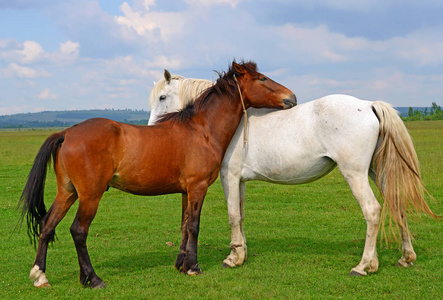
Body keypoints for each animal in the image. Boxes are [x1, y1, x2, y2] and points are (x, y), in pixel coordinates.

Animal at [20, 61, 298, 288]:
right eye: (262, 78)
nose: (292, 97)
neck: (201, 130)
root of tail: (67, 133)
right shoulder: (198, 187)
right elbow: (194, 225)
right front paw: (194, 267)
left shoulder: (186, 191)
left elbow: (185, 225)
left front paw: (182, 264)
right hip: (90, 195)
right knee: (78, 230)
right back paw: (92, 278)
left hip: (67, 192)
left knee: (47, 224)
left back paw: (40, 275)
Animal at [148, 70, 438, 276]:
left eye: (162, 98)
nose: (152, 129)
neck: (217, 122)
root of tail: (368, 105)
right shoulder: (240, 180)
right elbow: (240, 215)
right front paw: (241, 254)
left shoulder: (228, 177)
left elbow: (232, 216)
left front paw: (232, 259)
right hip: (376, 172)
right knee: (397, 204)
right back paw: (404, 258)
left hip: (355, 173)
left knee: (373, 211)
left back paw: (363, 266)